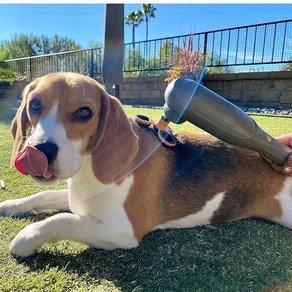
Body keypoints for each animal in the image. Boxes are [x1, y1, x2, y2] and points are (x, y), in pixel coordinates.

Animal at [0, 72, 290, 256]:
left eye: (85, 112)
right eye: (34, 105)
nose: (40, 150)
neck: (90, 167)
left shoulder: (120, 231)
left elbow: (61, 220)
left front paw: (25, 238)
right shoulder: (80, 198)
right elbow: (43, 196)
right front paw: (11, 205)